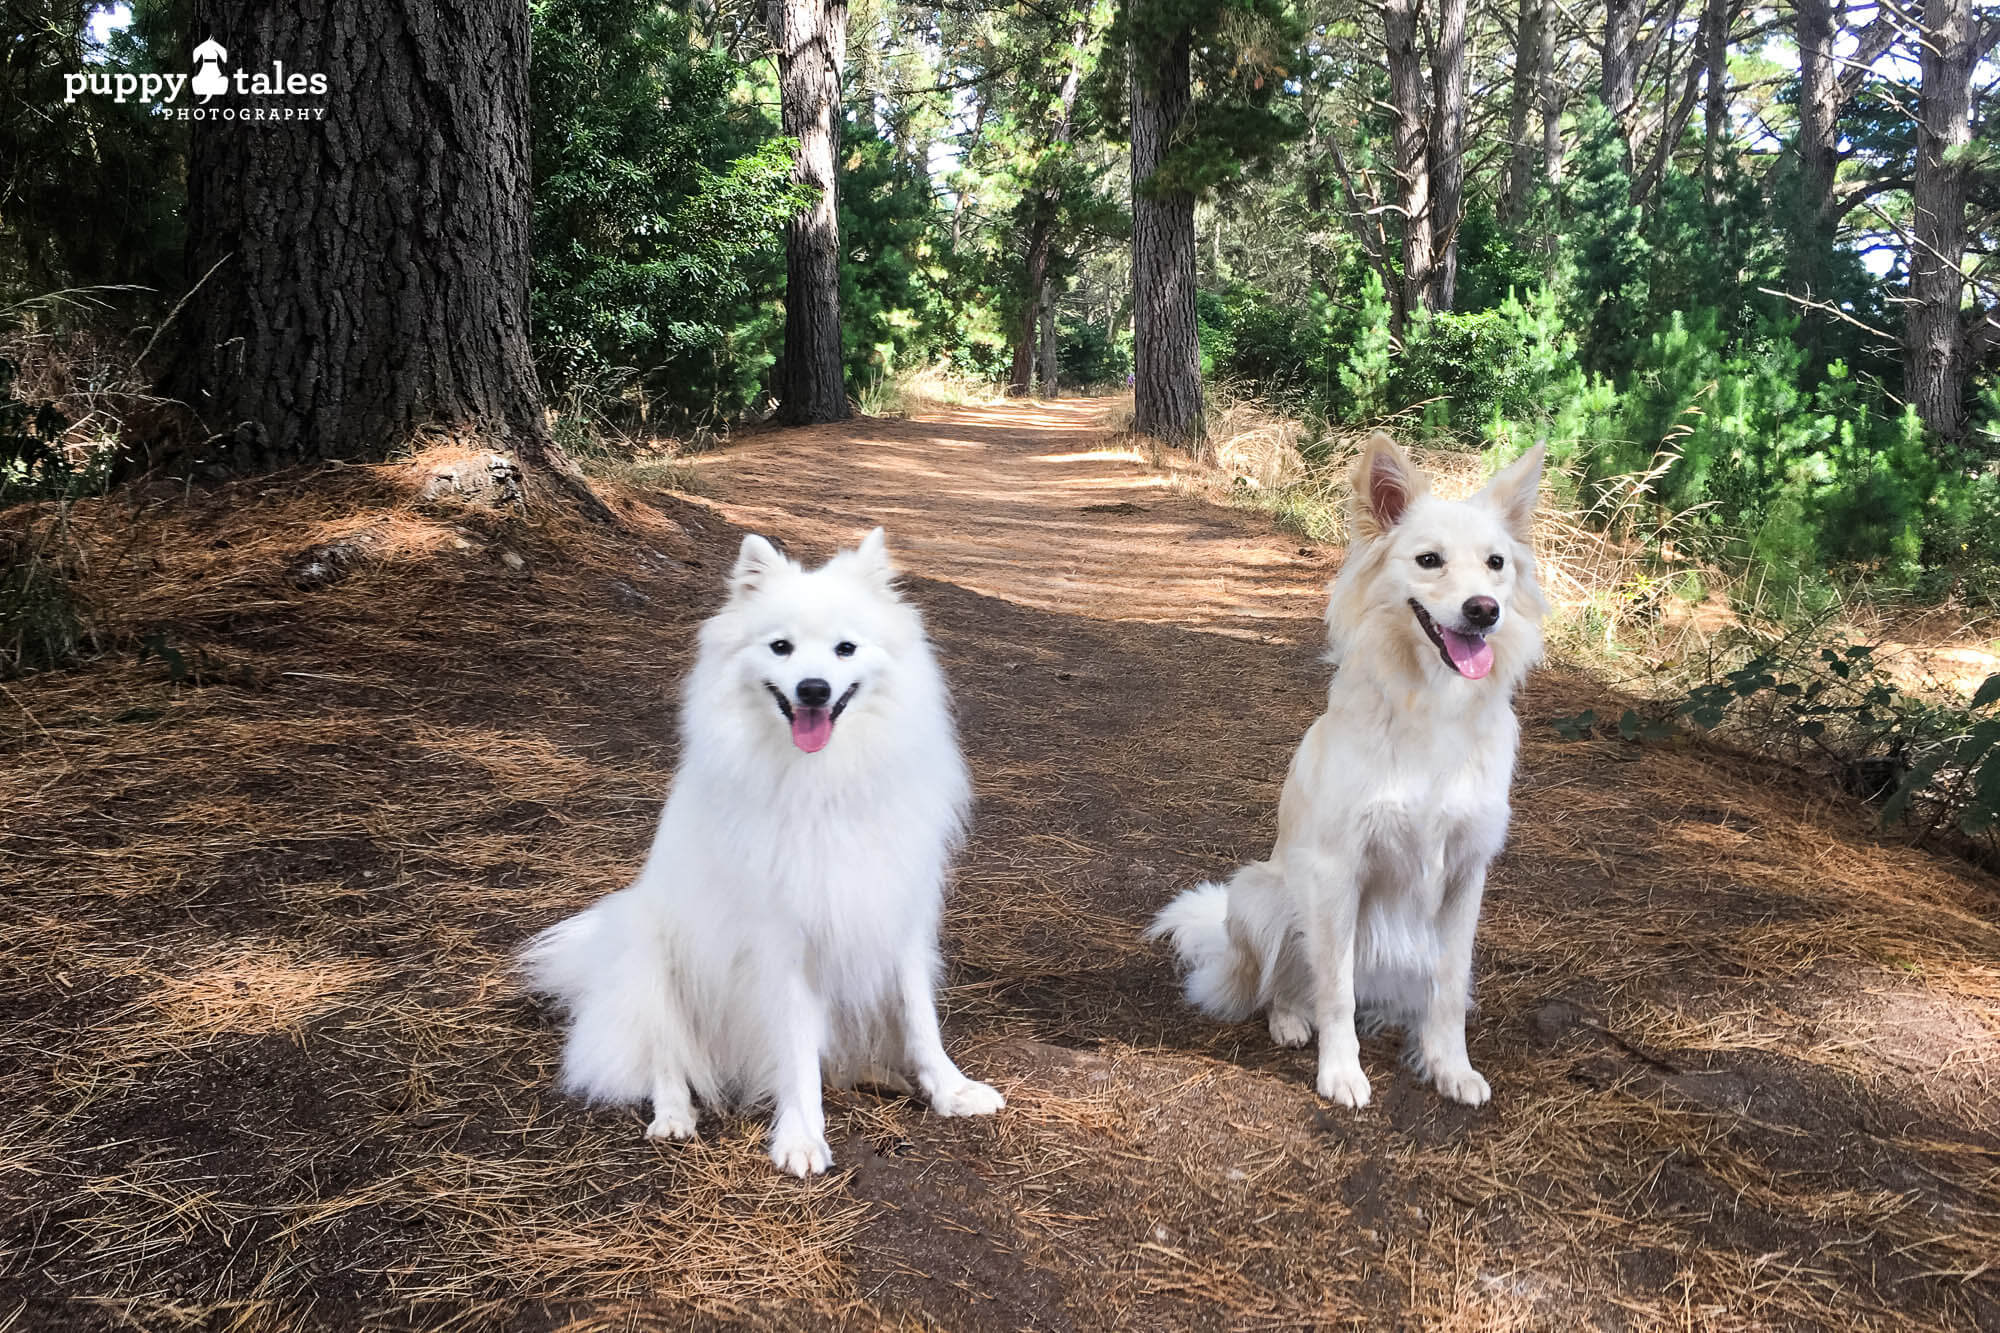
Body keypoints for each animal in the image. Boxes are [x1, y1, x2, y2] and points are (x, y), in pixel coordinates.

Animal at [520, 524, 1000, 1168]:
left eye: (845, 649)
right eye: (780, 647)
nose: (813, 689)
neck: (823, 782)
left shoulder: (893, 914)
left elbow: (921, 1019)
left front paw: (951, 1090)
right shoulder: (782, 942)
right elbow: (795, 1051)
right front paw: (801, 1136)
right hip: (655, 965)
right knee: (666, 1061)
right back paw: (675, 1118)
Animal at [1152, 434, 1552, 1096]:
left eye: (1496, 563)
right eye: (1429, 560)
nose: (1484, 610)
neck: (1432, 706)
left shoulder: (1465, 876)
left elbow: (1448, 989)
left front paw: (1450, 1066)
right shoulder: (1338, 872)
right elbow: (1334, 987)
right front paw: (1340, 1072)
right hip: (1260, 895)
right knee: (1285, 986)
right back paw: (1290, 1020)